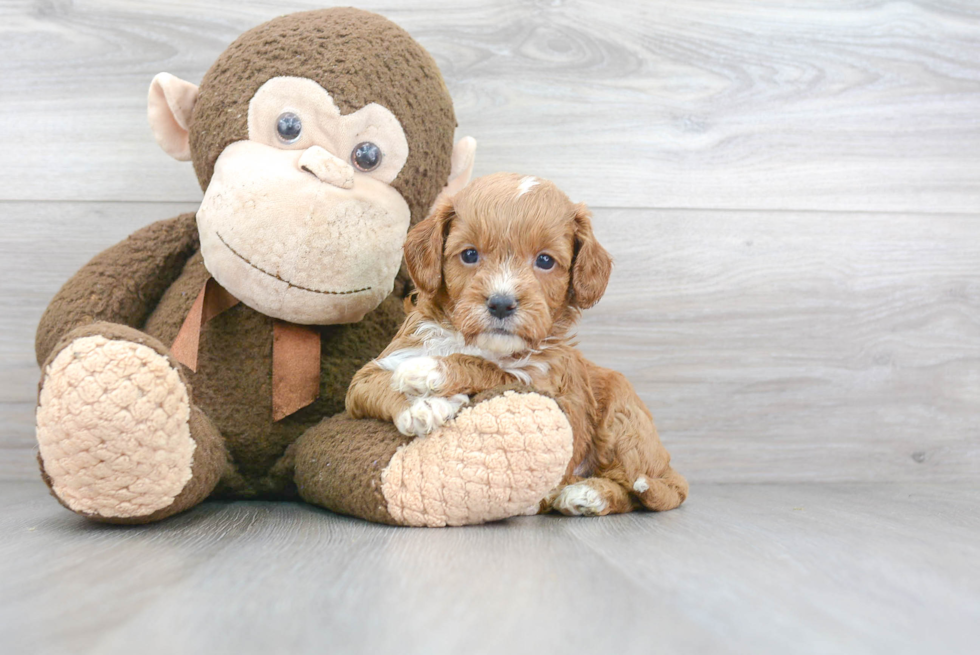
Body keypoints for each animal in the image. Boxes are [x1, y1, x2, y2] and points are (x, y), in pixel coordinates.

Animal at [346, 174, 688, 516]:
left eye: (545, 260)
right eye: (469, 255)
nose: (501, 303)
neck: (476, 343)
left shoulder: (544, 384)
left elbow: (493, 370)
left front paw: (431, 371)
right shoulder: (372, 372)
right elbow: (375, 383)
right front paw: (420, 406)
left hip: (622, 416)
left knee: (643, 487)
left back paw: (589, 494)